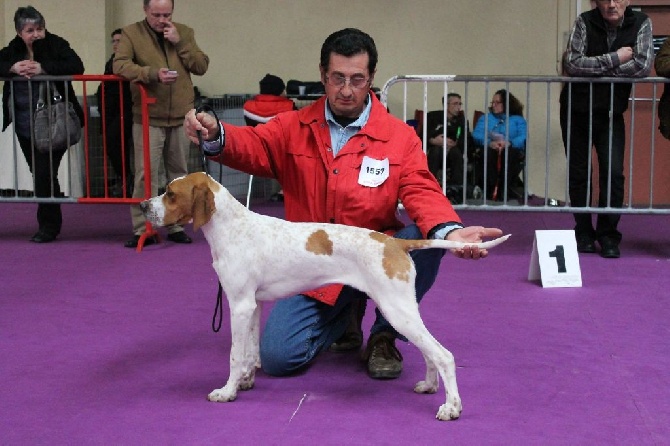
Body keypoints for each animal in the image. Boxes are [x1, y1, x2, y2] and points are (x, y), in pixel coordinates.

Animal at [140, 172, 510, 420]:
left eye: (170, 194)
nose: (143, 205)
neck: (233, 228)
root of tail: (394, 243)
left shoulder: (239, 305)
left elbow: (234, 354)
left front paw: (227, 391)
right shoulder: (252, 305)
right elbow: (248, 353)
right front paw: (244, 382)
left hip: (396, 309)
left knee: (444, 355)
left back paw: (451, 407)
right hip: (404, 312)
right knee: (431, 352)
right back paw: (430, 386)